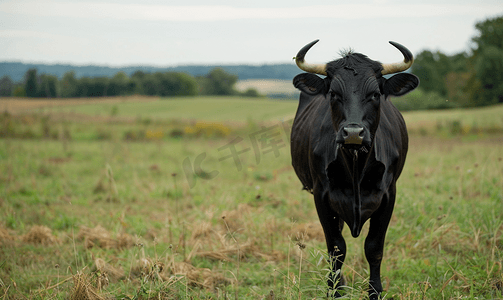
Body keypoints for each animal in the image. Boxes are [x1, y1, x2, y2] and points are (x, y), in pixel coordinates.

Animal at [290, 39, 420, 298]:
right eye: (333, 93)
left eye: (375, 94)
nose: (352, 133)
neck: (356, 165)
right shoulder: (322, 196)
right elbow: (336, 249)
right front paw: (334, 291)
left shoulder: (389, 195)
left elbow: (374, 248)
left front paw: (375, 292)